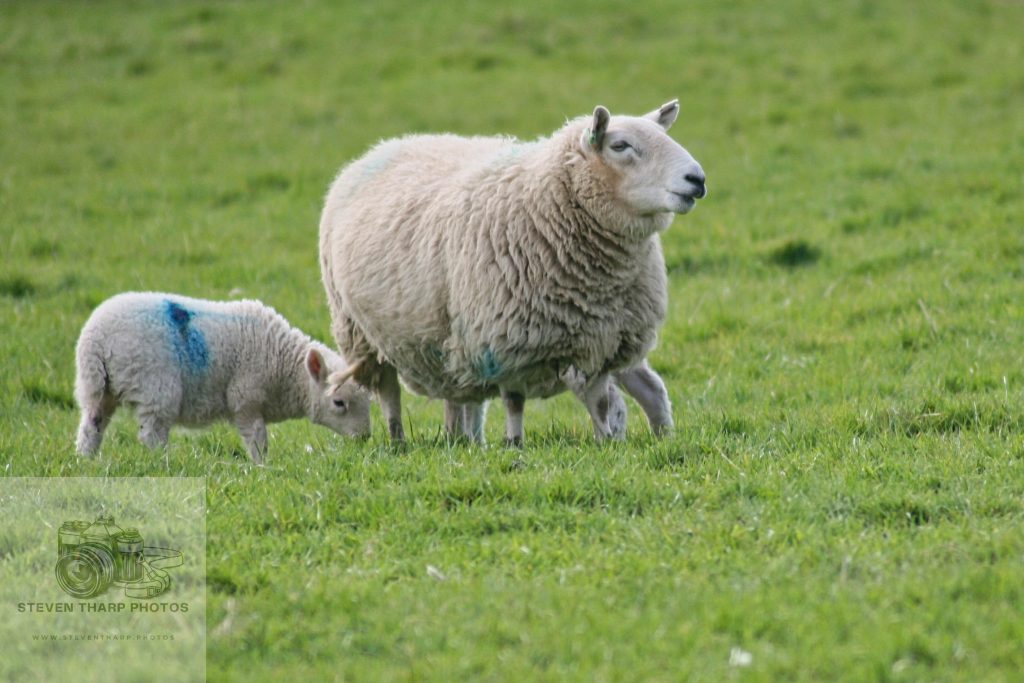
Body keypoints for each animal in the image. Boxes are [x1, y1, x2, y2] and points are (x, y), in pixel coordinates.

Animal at [74, 292, 372, 463]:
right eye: (339, 403)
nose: (365, 438)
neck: (283, 364)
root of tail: (95, 340)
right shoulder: (245, 398)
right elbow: (258, 439)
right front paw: (262, 468)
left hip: (98, 389)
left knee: (91, 426)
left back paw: (86, 461)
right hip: (155, 387)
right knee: (152, 434)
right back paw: (164, 463)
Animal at [319, 99, 705, 443]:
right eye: (620, 145)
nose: (697, 178)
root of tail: (382, 147)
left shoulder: (600, 340)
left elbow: (600, 402)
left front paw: (606, 443)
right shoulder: (507, 341)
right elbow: (516, 402)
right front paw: (515, 444)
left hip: (446, 340)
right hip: (363, 334)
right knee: (390, 393)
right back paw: (401, 439)